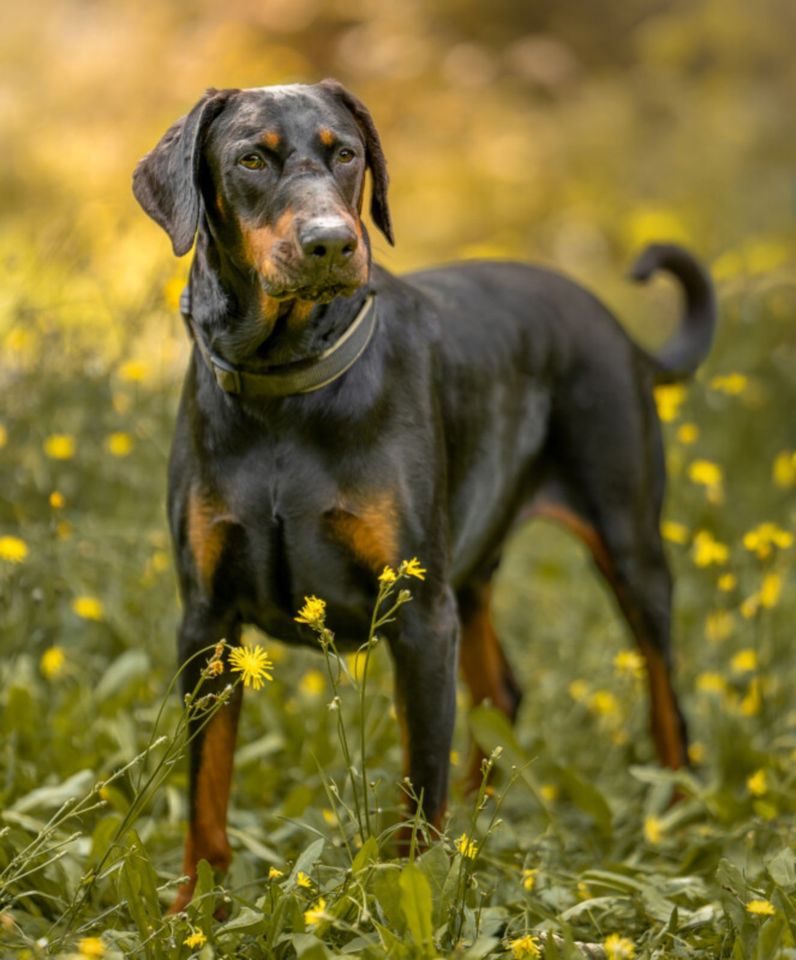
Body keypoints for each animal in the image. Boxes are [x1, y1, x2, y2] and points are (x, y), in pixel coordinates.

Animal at [134, 80, 720, 908]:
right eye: (251, 159)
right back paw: (483, 827)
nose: (330, 243)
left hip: (625, 543)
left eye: (346, 153)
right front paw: (195, 912)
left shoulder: (416, 614)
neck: (287, 390)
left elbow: (419, 785)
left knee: (666, 701)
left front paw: (410, 890)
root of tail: (611, 323)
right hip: (470, 568)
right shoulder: (206, 621)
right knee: (501, 692)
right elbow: (205, 791)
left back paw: (673, 817)